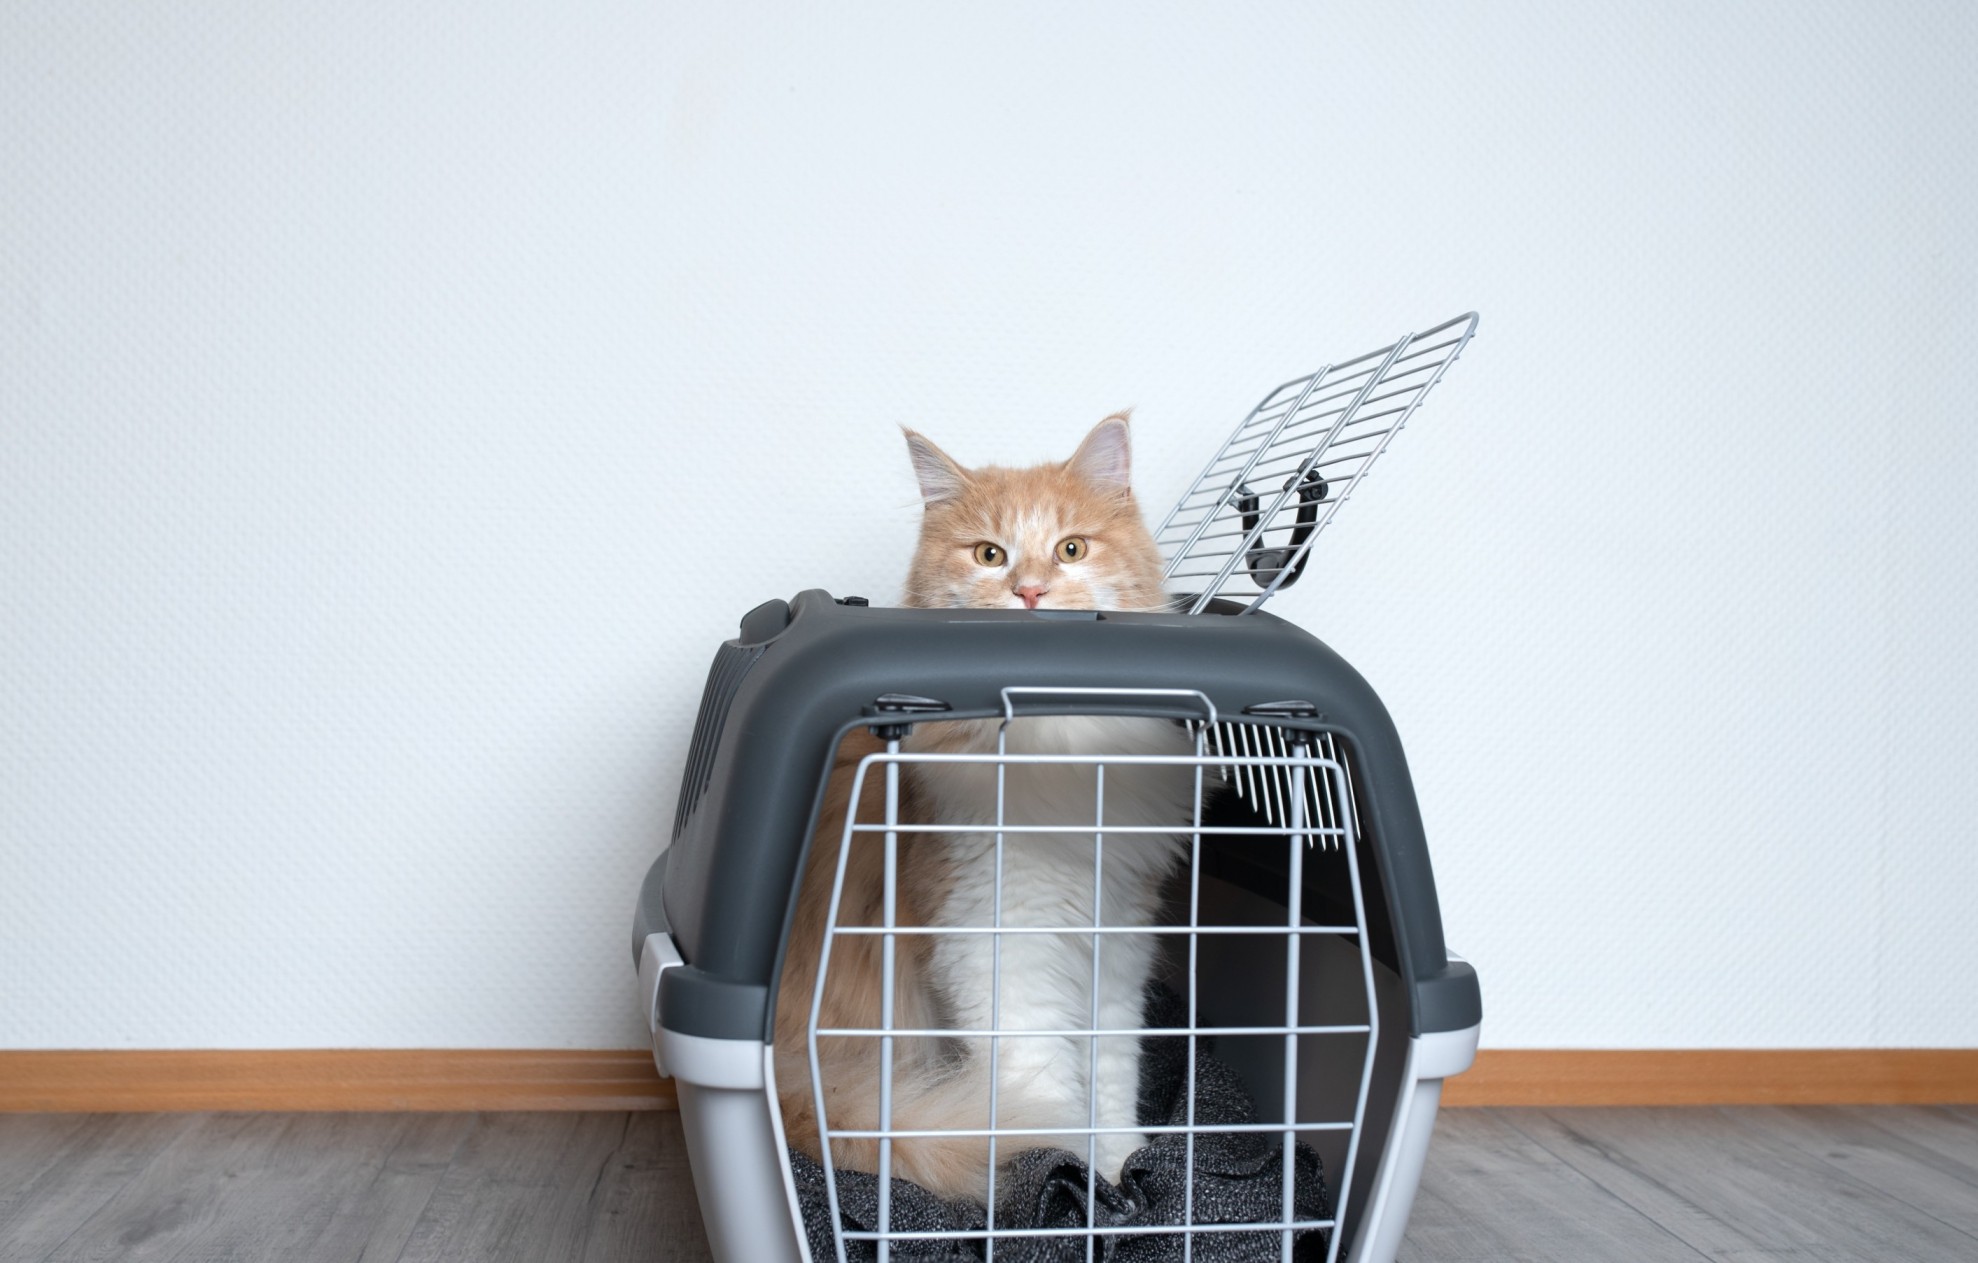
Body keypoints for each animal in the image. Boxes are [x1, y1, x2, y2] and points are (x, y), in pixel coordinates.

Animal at [771, 417, 1186, 1201]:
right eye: (989, 554)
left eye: (1071, 548)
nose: (1030, 591)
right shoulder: (997, 945)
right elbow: (1046, 1090)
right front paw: (1077, 1179)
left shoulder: (1115, 941)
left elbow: (1111, 1076)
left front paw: (1121, 1167)